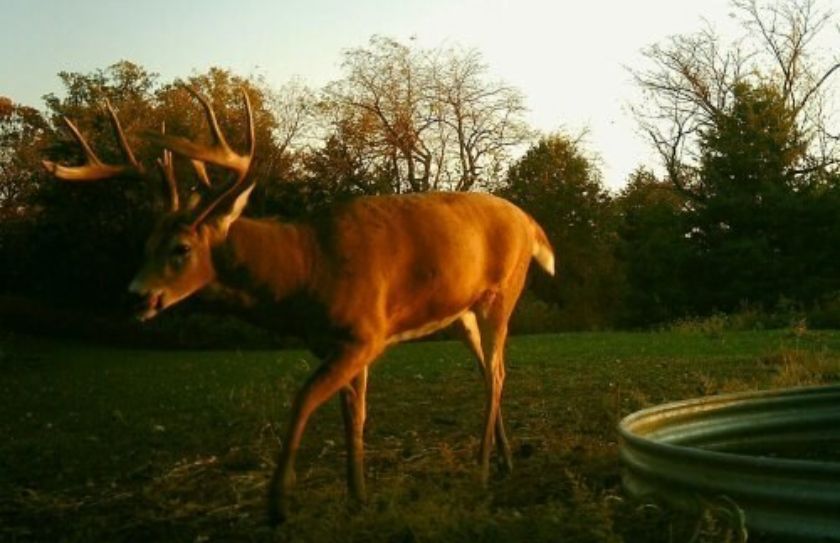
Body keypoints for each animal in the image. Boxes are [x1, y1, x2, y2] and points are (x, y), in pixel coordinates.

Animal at [42, 89, 556, 528]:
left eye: (181, 249)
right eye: (145, 244)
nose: (135, 296)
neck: (307, 269)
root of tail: (532, 222)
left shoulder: (365, 334)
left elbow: (304, 399)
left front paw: (279, 504)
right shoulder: (335, 343)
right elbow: (354, 413)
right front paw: (358, 496)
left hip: (502, 294)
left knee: (498, 370)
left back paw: (483, 468)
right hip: (461, 312)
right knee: (488, 371)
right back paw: (504, 459)